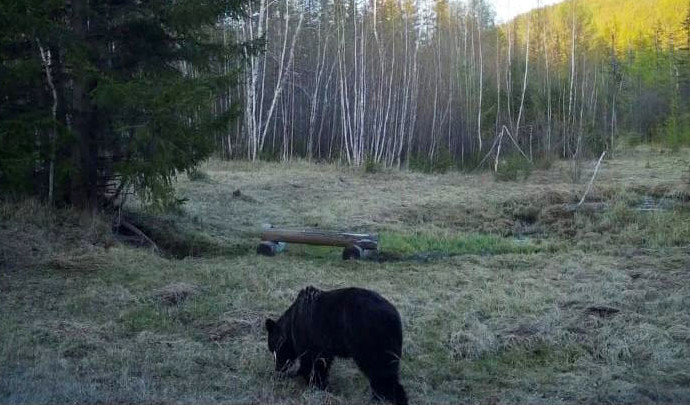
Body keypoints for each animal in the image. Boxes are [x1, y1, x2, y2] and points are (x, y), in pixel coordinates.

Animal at [262, 286, 404, 402]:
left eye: (274, 349)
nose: (278, 369)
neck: (292, 322)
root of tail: (394, 317)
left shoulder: (310, 336)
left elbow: (312, 362)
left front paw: (313, 381)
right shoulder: (324, 343)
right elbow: (322, 362)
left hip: (371, 341)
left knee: (380, 372)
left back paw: (381, 397)